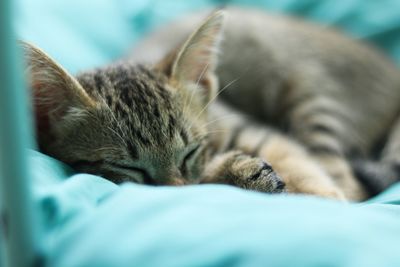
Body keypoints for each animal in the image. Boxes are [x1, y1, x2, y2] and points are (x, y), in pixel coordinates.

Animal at [23, 7, 400, 202]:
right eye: (127, 167)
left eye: (189, 152)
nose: (175, 192)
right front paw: (234, 171)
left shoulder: (249, 127)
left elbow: (310, 173)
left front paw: (320, 197)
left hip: (312, 97)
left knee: (349, 182)